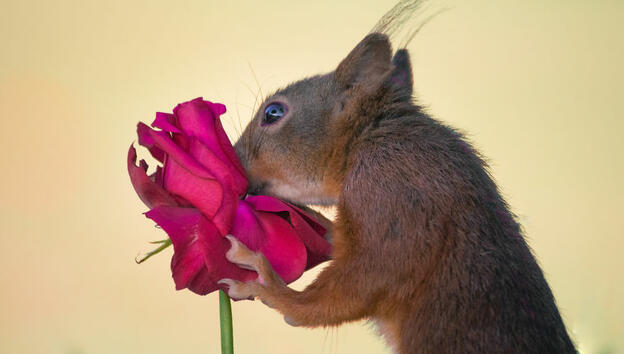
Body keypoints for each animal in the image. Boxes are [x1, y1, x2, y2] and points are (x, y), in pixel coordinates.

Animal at [217, 2, 576, 352]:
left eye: (273, 113)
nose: (233, 158)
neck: (366, 138)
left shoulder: (390, 193)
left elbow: (348, 290)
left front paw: (264, 280)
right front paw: (322, 224)